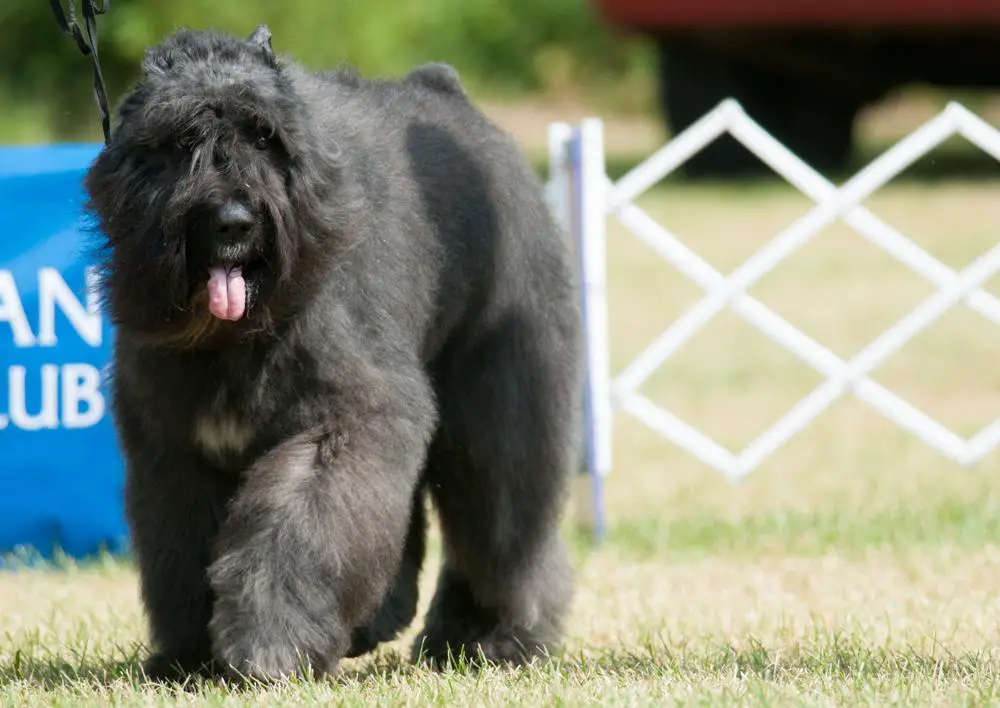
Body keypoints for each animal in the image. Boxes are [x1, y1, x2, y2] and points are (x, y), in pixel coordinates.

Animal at [86, 24, 584, 684]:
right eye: (181, 138)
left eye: (265, 136)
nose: (232, 221)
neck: (233, 336)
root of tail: (448, 95)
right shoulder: (176, 456)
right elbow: (180, 551)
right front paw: (189, 656)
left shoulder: (341, 424)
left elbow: (301, 531)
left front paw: (269, 647)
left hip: (500, 411)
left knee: (505, 529)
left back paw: (493, 637)